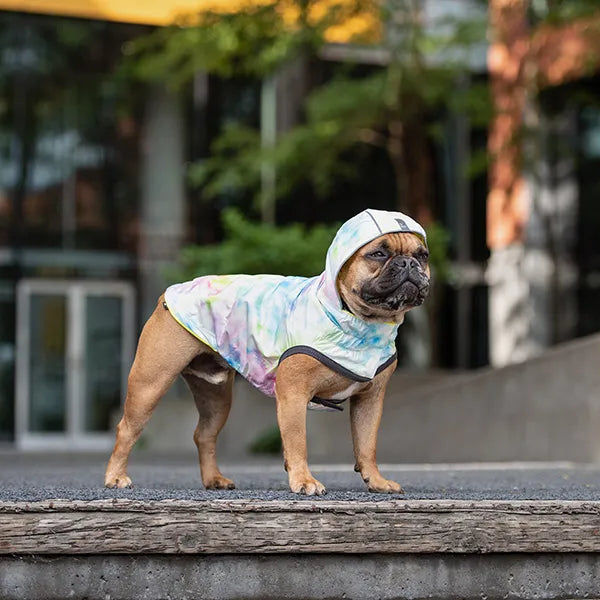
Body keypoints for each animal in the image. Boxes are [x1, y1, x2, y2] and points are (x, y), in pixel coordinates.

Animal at [105, 209, 428, 494]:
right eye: (378, 254)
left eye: (423, 256)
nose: (408, 263)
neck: (360, 322)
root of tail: (171, 292)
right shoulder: (293, 395)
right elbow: (298, 441)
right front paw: (304, 481)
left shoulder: (370, 401)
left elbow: (366, 444)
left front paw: (376, 480)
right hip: (151, 382)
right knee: (127, 428)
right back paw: (116, 477)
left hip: (216, 396)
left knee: (204, 435)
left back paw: (214, 479)